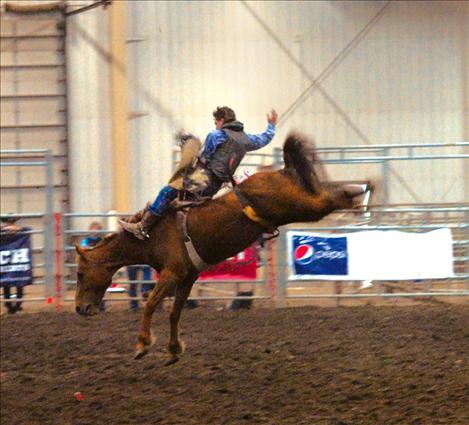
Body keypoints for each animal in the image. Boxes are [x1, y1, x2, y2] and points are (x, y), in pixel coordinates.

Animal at [75, 132, 364, 364]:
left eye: (79, 274)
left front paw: (142, 345)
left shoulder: (171, 273)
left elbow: (151, 304)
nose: (80, 309)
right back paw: (359, 192)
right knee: (326, 192)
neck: (151, 236)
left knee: (327, 198)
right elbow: (174, 313)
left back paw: (361, 194)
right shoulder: (186, 277)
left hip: (303, 205)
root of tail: (279, 170)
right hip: (302, 203)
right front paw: (173, 350)